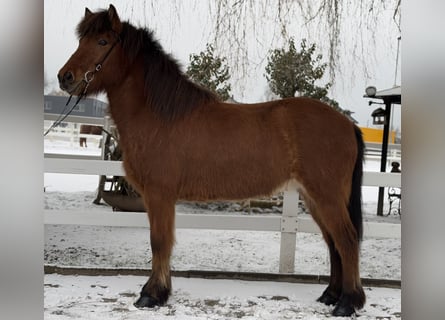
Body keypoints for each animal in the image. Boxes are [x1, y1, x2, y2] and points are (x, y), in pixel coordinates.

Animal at [58, 4, 364, 316]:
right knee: (333, 243)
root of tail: (348, 125)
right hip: (315, 198)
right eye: (81, 40)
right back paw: (331, 295)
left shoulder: (159, 194)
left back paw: (348, 302)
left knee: (347, 240)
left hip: (326, 196)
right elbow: (164, 242)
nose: (65, 77)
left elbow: (159, 242)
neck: (160, 117)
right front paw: (161, 291)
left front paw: (151, 294)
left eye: (102, 42)